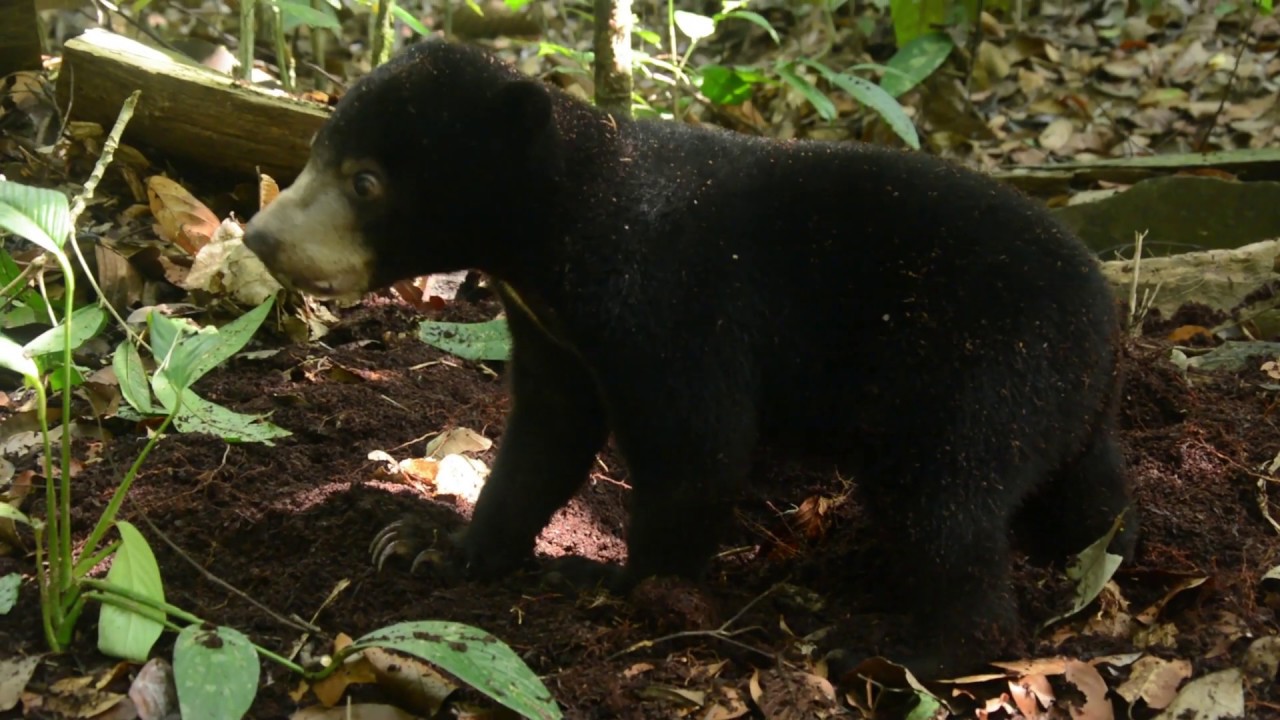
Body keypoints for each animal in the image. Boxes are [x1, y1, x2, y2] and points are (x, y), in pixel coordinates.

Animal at [243, 39, 1137, 679]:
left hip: (987, 371)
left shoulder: (671, 304)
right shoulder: (553, 331)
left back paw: (902, 651)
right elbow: (546, 436)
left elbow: (698, 448)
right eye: (318, 147)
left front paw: (615, 583)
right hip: (1052, 406)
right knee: (1081, 495)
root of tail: (1106, 330)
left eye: (367, 182)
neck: (561, 231)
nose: (258, 236)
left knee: (945, 506)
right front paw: (431, 545)